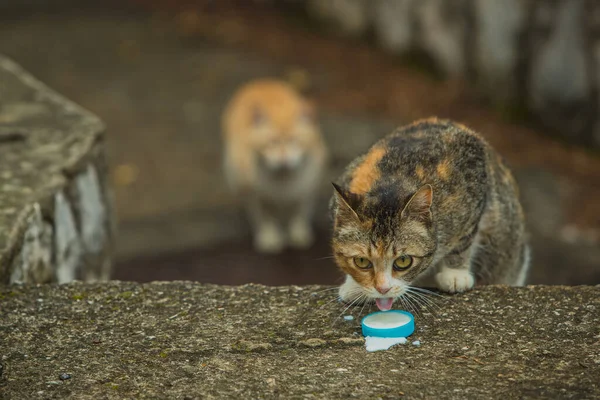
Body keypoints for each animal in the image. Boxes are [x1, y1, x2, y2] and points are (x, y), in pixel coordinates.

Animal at [221, 79, 328, 252]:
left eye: (294, 141)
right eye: (272, 143)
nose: (283, 159)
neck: (283, 180)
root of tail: (260, 82)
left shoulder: (309, 188)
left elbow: (300, 212)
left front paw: (298, 234)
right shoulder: (255, 194)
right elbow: (264, 217)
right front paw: (269, 237)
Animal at [330, 117, 532, 310]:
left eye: (403, 261)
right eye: (361, 261)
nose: (383, 289)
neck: (392, 181)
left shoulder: (475, 175)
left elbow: (464, 239)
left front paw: (455, 274)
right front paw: (355, 286)